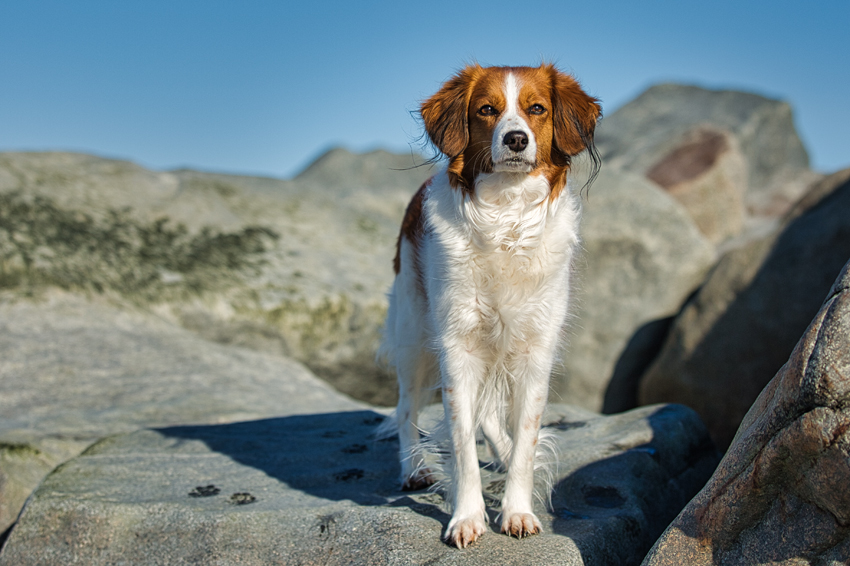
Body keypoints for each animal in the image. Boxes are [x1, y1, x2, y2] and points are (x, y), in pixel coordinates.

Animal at [380, 63, 600, 552]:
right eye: (486, 110)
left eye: (536, 109)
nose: (516, 139)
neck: (506, 219)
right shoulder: (457, 349)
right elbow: (463, 441)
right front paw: (466, 518)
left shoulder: (536, 352)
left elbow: (525, 441)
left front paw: (517, 511)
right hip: (414, 335)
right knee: (405, 409)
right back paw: (413, 468)